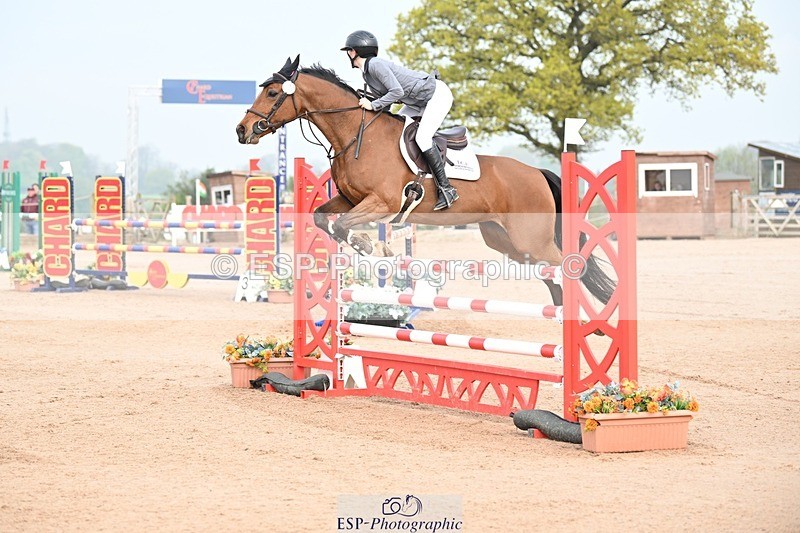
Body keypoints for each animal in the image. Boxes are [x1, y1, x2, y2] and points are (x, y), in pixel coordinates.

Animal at [236, 56, 615, 308]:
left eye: (273, 93)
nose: (243, 130)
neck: (356, 134)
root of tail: (538, 172)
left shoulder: (382, 203)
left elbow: (344, 224)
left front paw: (371, 247)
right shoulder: (349, 198)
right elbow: (322, 218)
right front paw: (365, 245)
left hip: (531, 239)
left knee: (569, 265)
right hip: (507, 242)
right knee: (548, 271)